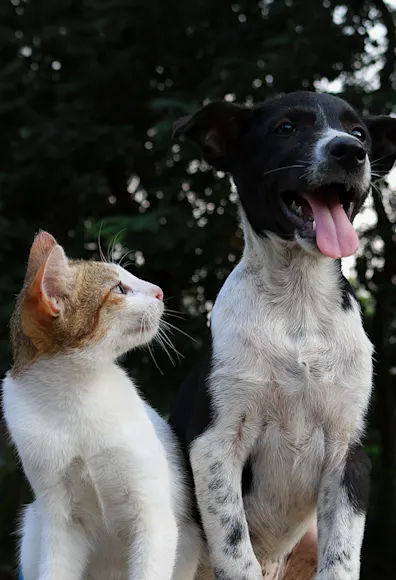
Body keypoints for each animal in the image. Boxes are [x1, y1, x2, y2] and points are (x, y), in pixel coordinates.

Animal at [1, 231, 201, 580]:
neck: (76, 396)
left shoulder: (154, 518)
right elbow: (55, 569)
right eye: (118, 289)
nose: (160, 291)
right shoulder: (61, 521)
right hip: (34, 525)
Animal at [169, 92, 396, 580]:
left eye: (360, 133)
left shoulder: (348, 455)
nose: (349, 151)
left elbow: (341, 559)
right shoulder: (216, 445)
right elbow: (236, 552)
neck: (299, 306)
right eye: (286, 128)